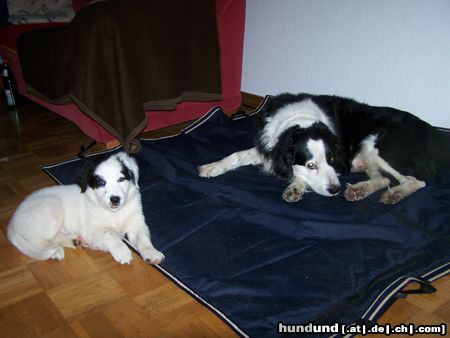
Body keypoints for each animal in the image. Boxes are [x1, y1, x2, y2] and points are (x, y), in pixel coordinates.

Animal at [7, 152, 164, 266]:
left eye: (121, 179)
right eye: (100, 182)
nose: (115, 199)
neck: (114, 213)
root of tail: (12, 224)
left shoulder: (137, 223)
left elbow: (143, 238)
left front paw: (151, 253)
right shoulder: (93, 231)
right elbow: (110, 234)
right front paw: (122, 251)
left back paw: (74, 241)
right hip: (51, 206)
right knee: (37, 240)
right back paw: (55, 251)